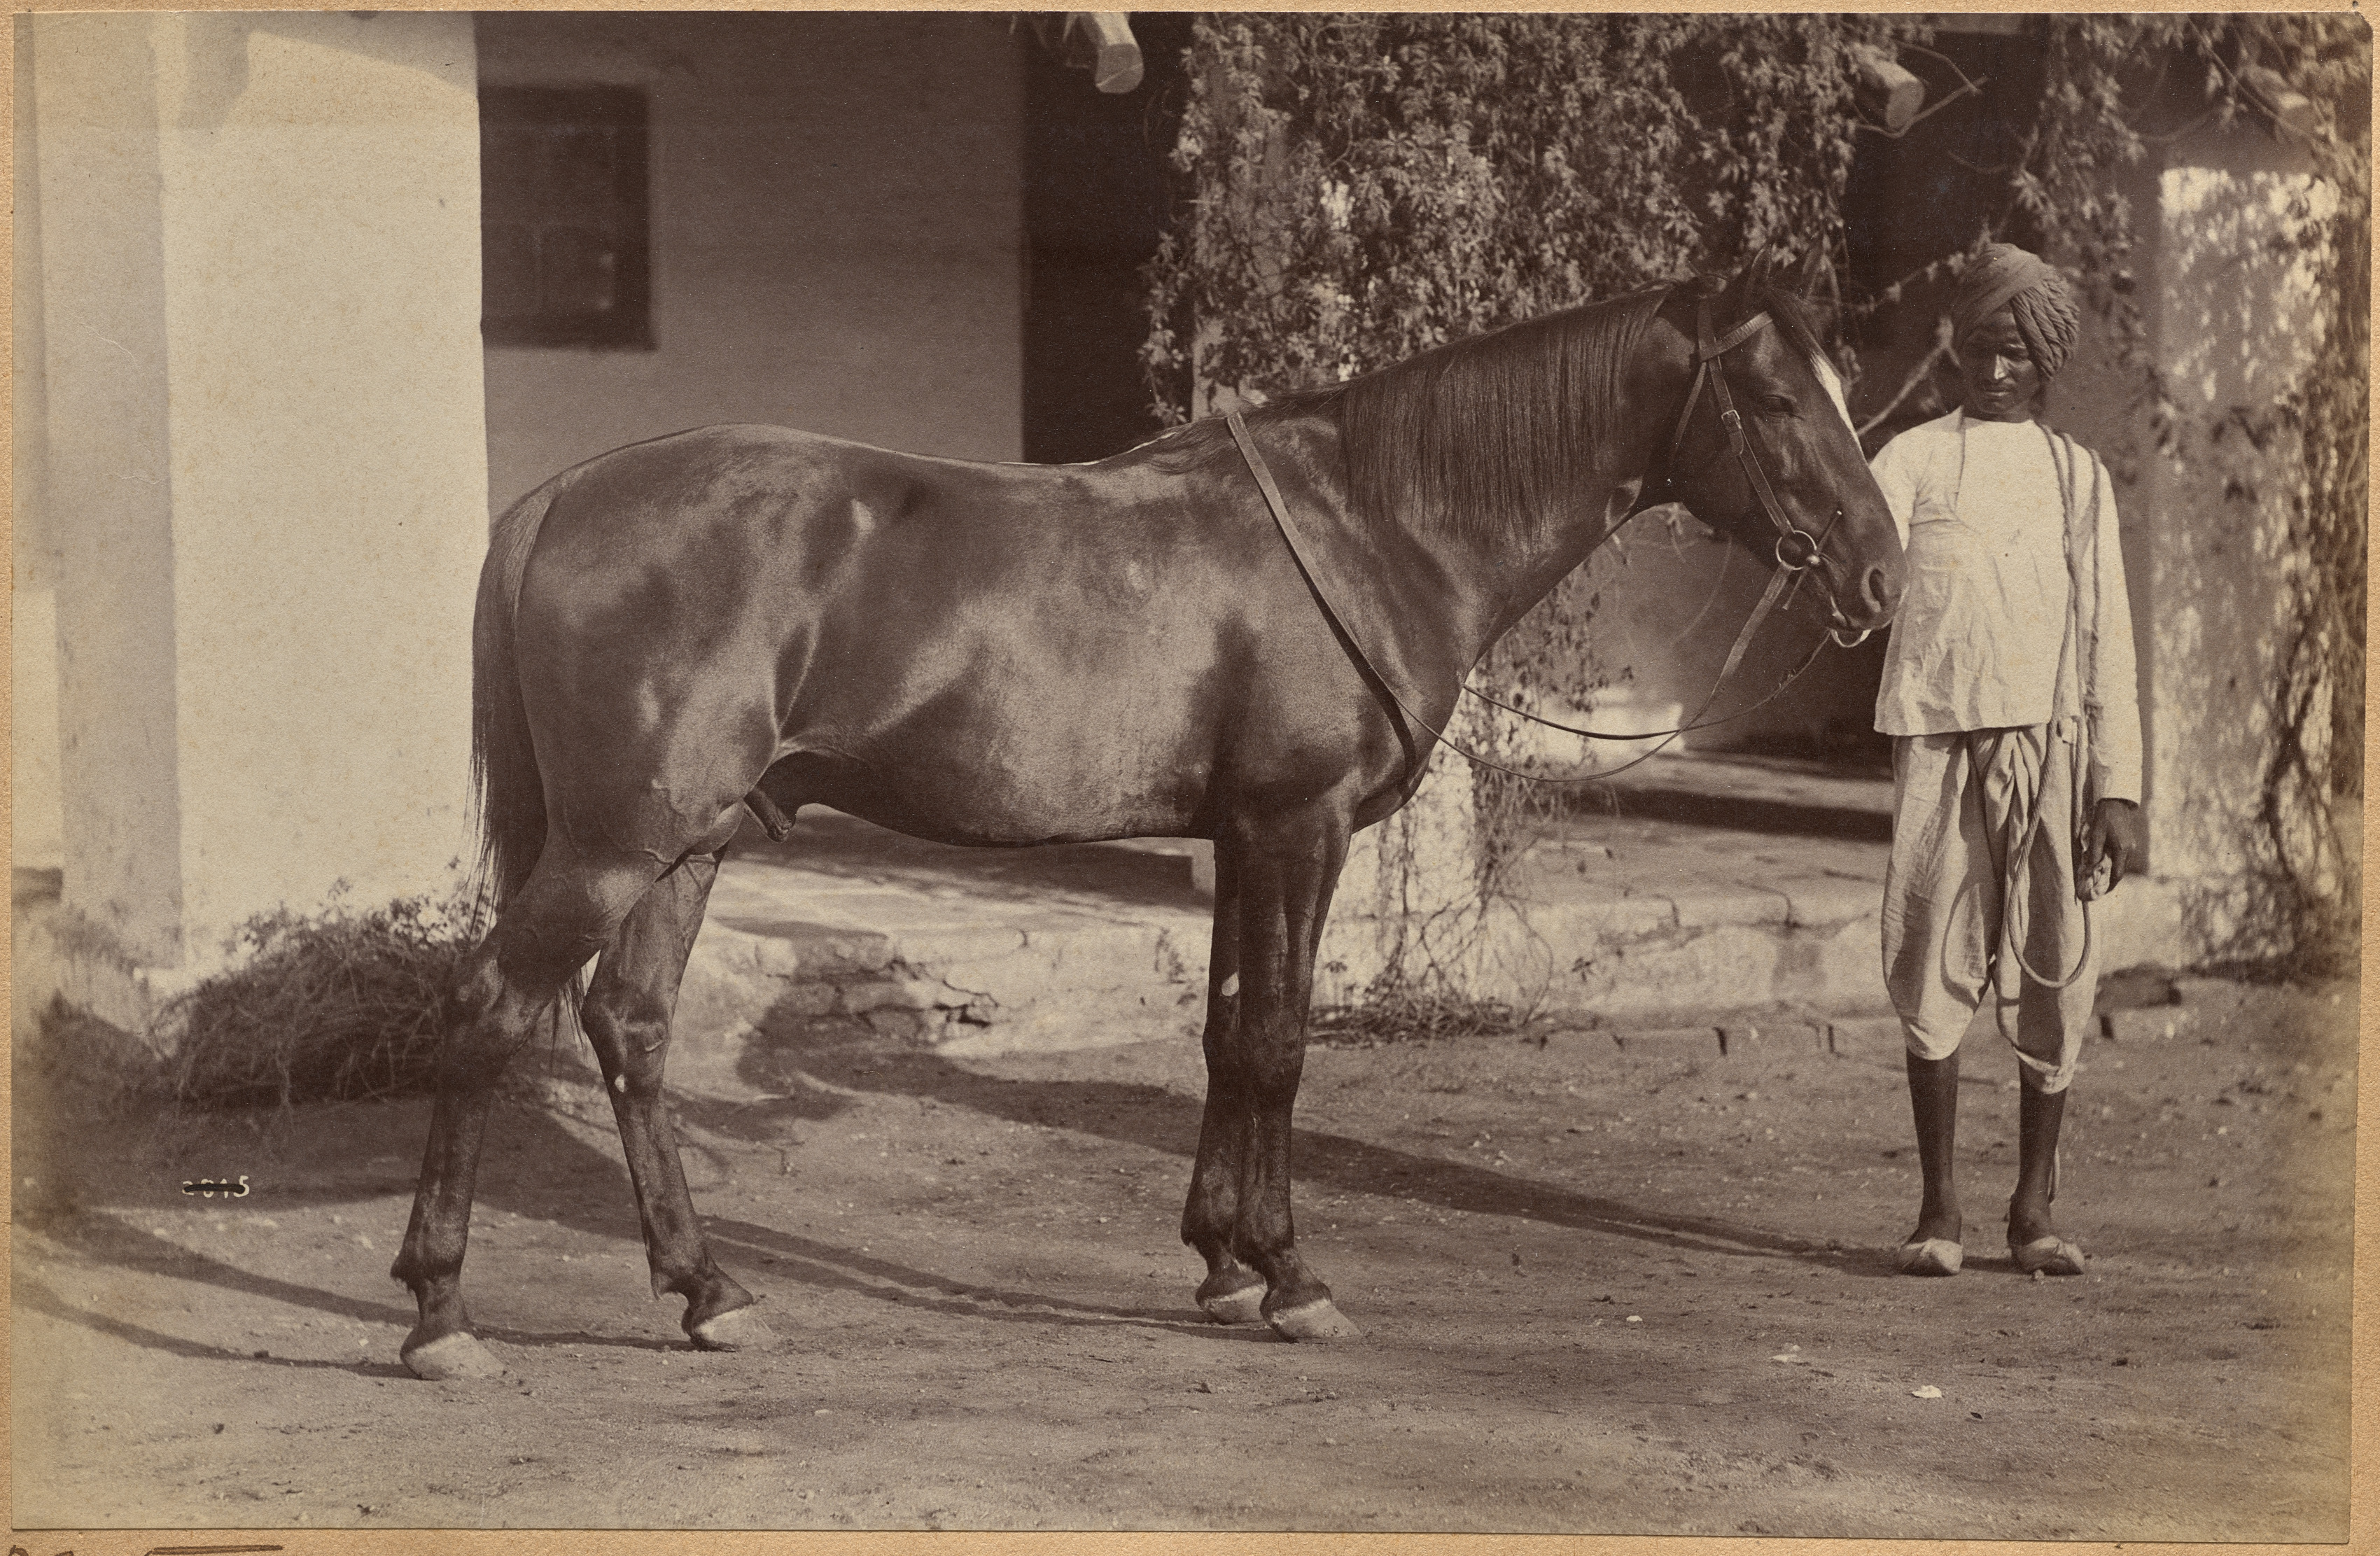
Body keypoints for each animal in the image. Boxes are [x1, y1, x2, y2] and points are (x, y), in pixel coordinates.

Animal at [390, 245, 1904, 1379]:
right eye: (1774, 397)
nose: (1882, 578)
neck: (1376, 524)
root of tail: (557, 500)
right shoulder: (1299, 828)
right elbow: (1282, 1042)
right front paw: (1292, 1276)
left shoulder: (1240, 838)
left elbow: (1229, 1034)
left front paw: (1221, 1262)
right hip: (617, 845)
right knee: (485, 1010)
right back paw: (442, 1312)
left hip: (691, 843)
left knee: (631, 1032)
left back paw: (710, 1291)